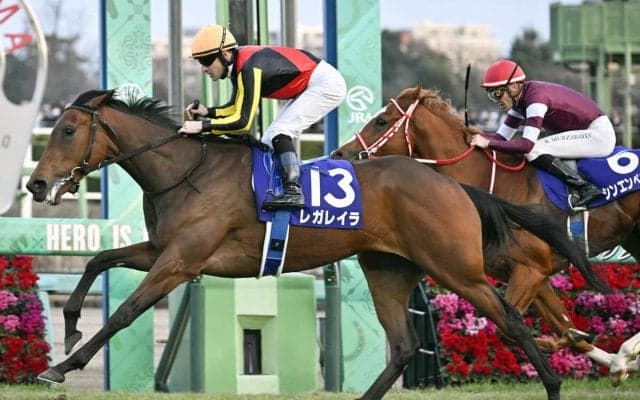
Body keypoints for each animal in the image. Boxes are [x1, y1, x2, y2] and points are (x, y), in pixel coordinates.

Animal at [26, 89, 602, 400]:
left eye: (69, 130)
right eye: (54, 128)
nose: (35, 184)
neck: (187, 170)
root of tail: (454, 184)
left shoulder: (181, 260)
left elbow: (124, 312)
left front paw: (60, 366)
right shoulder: (164, 248)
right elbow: (100, 259)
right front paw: (70, 324)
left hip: (457, 269)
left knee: (511, 319)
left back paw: (553, 383)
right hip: (388, 269)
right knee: (402, 346)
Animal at [331, 85, 640, 383]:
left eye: (381, 121)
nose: (338, 155)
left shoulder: (530, 270)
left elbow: (510, 329)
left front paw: (616, 359)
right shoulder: (533, 275)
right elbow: (565, 327)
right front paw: (616, 363)